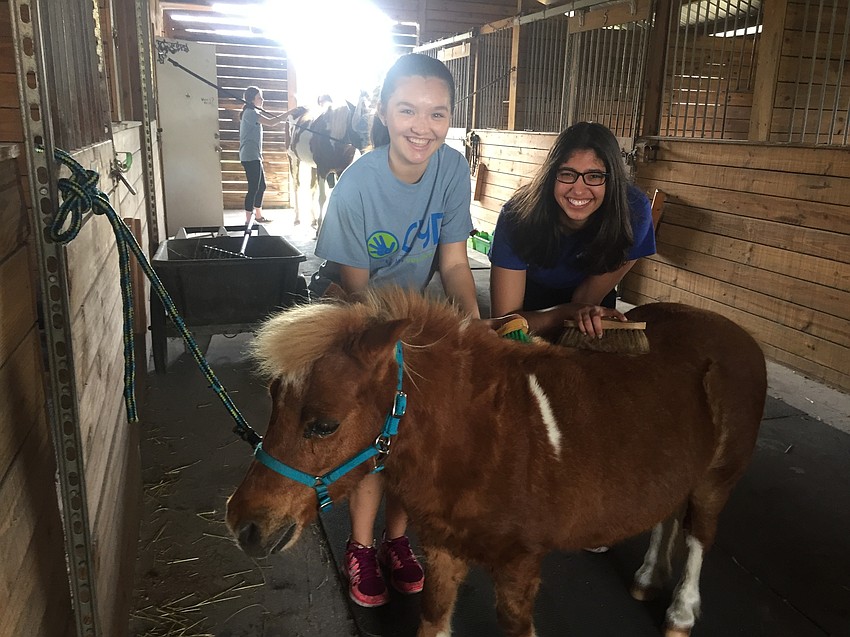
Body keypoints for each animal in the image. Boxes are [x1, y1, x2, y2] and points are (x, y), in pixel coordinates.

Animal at [226, 289, 767, 637]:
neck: (485, 440)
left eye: (324, 425)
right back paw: (648, 578)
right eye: (273, 400)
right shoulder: (442, 552)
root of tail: (737, 333)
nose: (243, 525)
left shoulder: (519, 567)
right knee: (667, 517)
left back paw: (680, 614)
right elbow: (433, 621)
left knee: (699, 535)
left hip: (717, 480)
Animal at [285, 93, 371, 232]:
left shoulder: (341, 170)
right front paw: (320, 229)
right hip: (293, 158)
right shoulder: (322, 169)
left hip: (313, 166)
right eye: (358, 123)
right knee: (296, 185)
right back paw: (297, 218)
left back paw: (313, 219)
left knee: (311, 188)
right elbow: (322, 198)